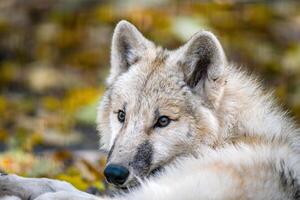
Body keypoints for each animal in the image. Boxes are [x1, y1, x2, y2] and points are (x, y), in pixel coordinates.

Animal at [0, 20, 300, 200]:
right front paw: (16, 182)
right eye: (121, 115)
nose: (114, 173)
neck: (230, 138)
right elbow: (58, 183)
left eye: (163, 121)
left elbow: (73, 193)